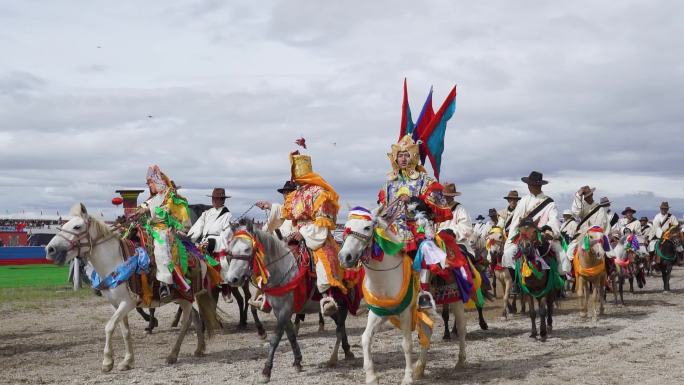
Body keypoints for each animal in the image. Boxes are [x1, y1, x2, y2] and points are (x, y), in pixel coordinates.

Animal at [46, 202, 216, 370]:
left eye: (77, 227)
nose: (50, 249)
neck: (116, 263)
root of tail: (199, 255)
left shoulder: (127, 303)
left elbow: (109, 326)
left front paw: (107, 361)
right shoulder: (116, 305)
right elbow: (124, 331)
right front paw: (127, 361)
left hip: (186, 298)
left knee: (186, 323)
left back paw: (173, 355)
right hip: (181, 298)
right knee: (195, 317)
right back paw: (199, 348)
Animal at [338, 208, 464, 384]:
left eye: (367, 228)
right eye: (346, 227)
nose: (345, 257)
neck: (385, 277)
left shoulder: (405, 314)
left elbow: (407, 344)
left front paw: (407, 377)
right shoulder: (377, 313)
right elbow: (365, 338)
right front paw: (371, 376)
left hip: (456, 300)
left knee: (462, 327)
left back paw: (460, 361)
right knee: (427, 332)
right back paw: (420, 368)